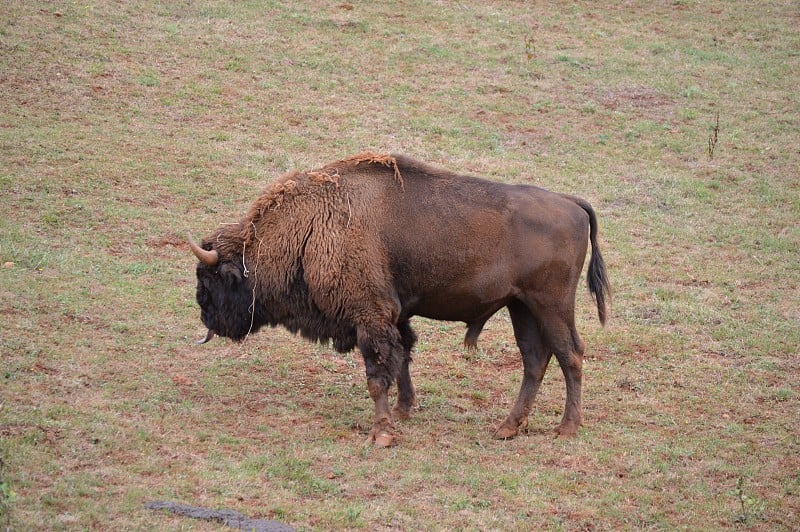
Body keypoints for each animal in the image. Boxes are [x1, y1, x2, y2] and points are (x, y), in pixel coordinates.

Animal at [189, 152, 612, 446]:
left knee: (570, 354)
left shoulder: (370, 317)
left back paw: (566, 428)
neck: (310, 226)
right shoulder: (396, 315)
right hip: (520, 306)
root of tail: (571, 203)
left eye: (213, 280)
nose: (206, 318)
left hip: (551, 305)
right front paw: (403, 410)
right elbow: (403, 358)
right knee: (535, 359)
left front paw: (382, 433)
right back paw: (508, 427)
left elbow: (377, 374)